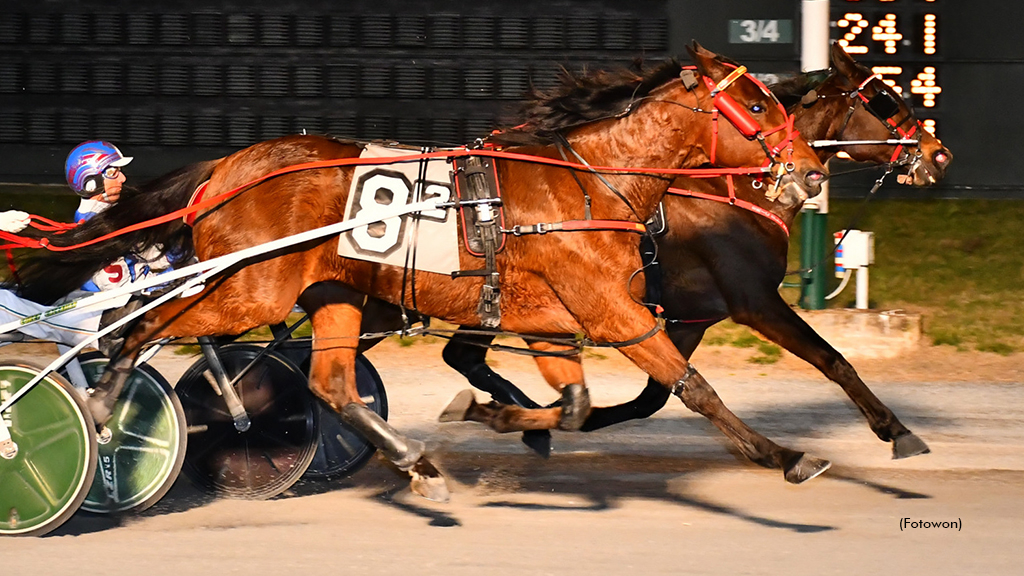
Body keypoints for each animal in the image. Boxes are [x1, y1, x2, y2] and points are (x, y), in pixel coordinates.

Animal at [12, 44, 827, 500]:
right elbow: (694, 386)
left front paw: (486, 415)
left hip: (332, 291)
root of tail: (230, 167)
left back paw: (414, 463)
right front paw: (785, 456)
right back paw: (98, 409)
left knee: (332, 384)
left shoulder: (556, 319)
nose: (811, 174)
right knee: (145, 324)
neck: (592, 183)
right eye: (757, 103)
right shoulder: (611, 313)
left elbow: (573, 404)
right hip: (249, 286)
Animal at [440, 42, 950, 459]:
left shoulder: (691, 319)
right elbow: (833, 359)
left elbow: (650, 399)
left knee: (462, 357)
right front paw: (896, 430)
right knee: (462, 357)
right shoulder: (754, 301)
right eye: (885, 98)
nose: (938, 154)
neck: (732, 190)